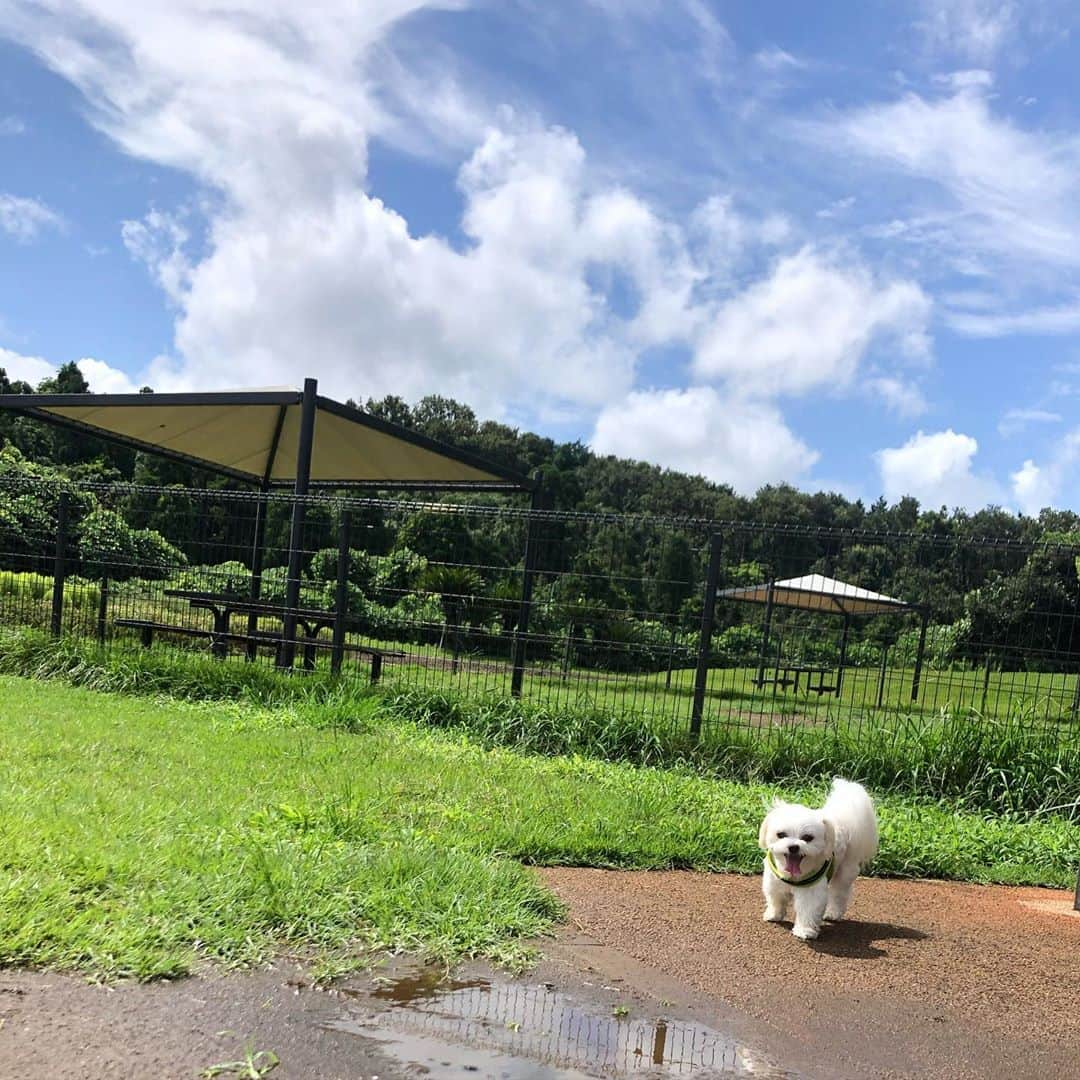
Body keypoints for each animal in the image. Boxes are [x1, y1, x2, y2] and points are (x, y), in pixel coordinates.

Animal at [760, 781, 876, 941]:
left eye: (808, 838)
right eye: (781, 834)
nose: (793, 847)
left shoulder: (811, 891)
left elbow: (808, 909)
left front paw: (805, 931)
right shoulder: (773, 882)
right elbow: (776, 899)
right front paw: (774, 915)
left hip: (845, 871)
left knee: (839, 893)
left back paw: (833, 913)